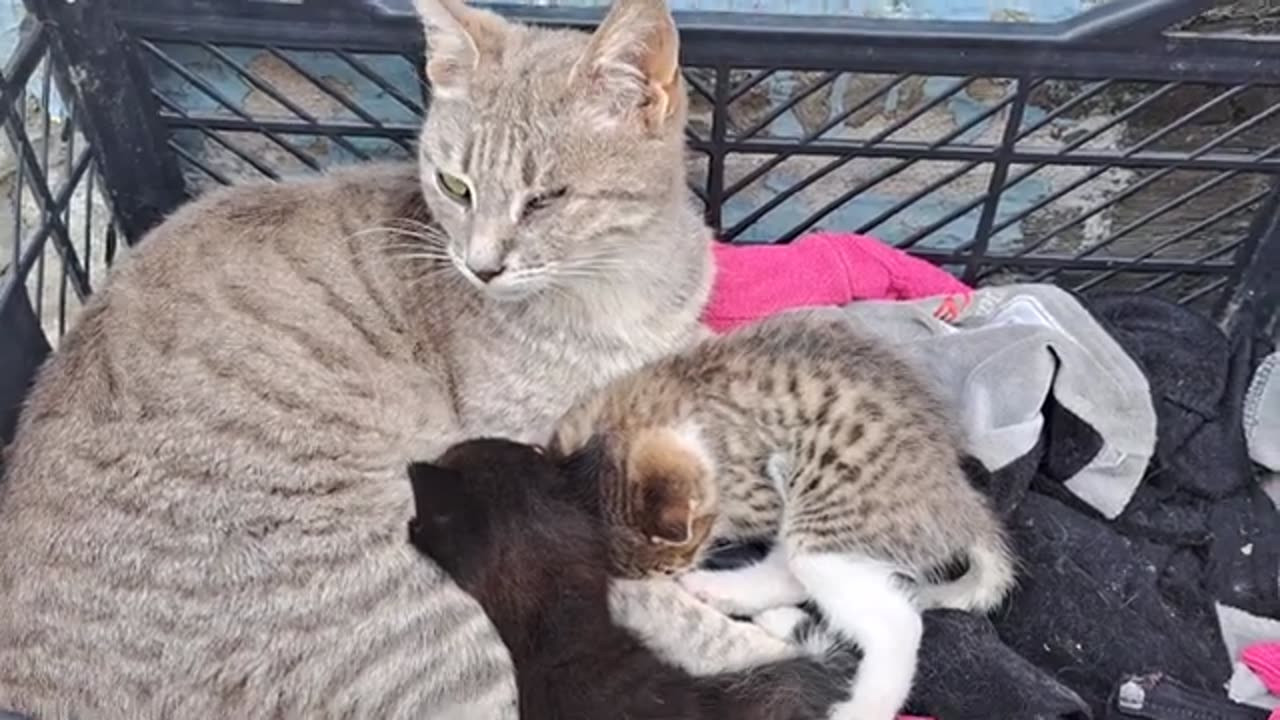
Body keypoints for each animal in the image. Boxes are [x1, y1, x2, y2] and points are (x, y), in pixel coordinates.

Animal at [0, 1, 808, 712]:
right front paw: (762, 636)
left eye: (545, 199)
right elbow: (670, 606)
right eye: (456, 185)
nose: (481, 266)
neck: (617, 292)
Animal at [555, 307, 1013, 717]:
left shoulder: (760, 487)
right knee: (794, 572)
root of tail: (959, 501)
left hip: (829, 509)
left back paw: (861, 706)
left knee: (894, 620)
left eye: (668, 569)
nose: (675, 574)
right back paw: (721, 592)